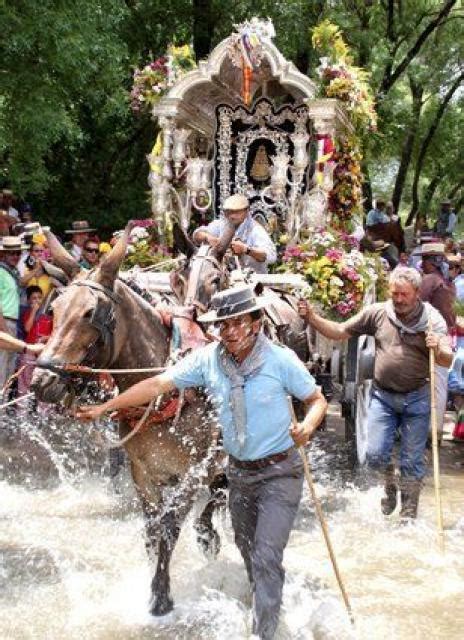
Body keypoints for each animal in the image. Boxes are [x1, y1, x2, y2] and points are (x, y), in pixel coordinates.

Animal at [30, 228, 225, 616]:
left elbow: (170, 525)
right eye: (55, 309)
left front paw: (161, 596)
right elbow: (151, 529)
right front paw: (152, 583)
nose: (43, 381)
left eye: (90, 312)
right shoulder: (142, 472)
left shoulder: (196, 468)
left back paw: (208, 535)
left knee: (220, 493)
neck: (164, 387)